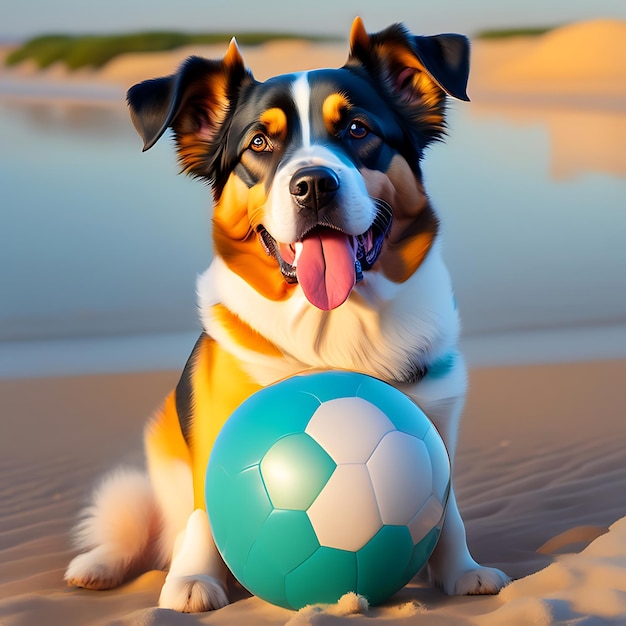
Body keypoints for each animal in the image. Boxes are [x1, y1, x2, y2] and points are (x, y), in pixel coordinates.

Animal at [66, 18, 510, 608]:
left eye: (358, 129)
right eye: (259, 142)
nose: (315, 185)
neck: (334, 326)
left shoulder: (438, 416)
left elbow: (448, 506)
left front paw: (462, 570)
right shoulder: (214, 424)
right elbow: (203, 514)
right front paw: (192, 582)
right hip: (149, 474)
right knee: (140, 526)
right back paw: (99, 566)